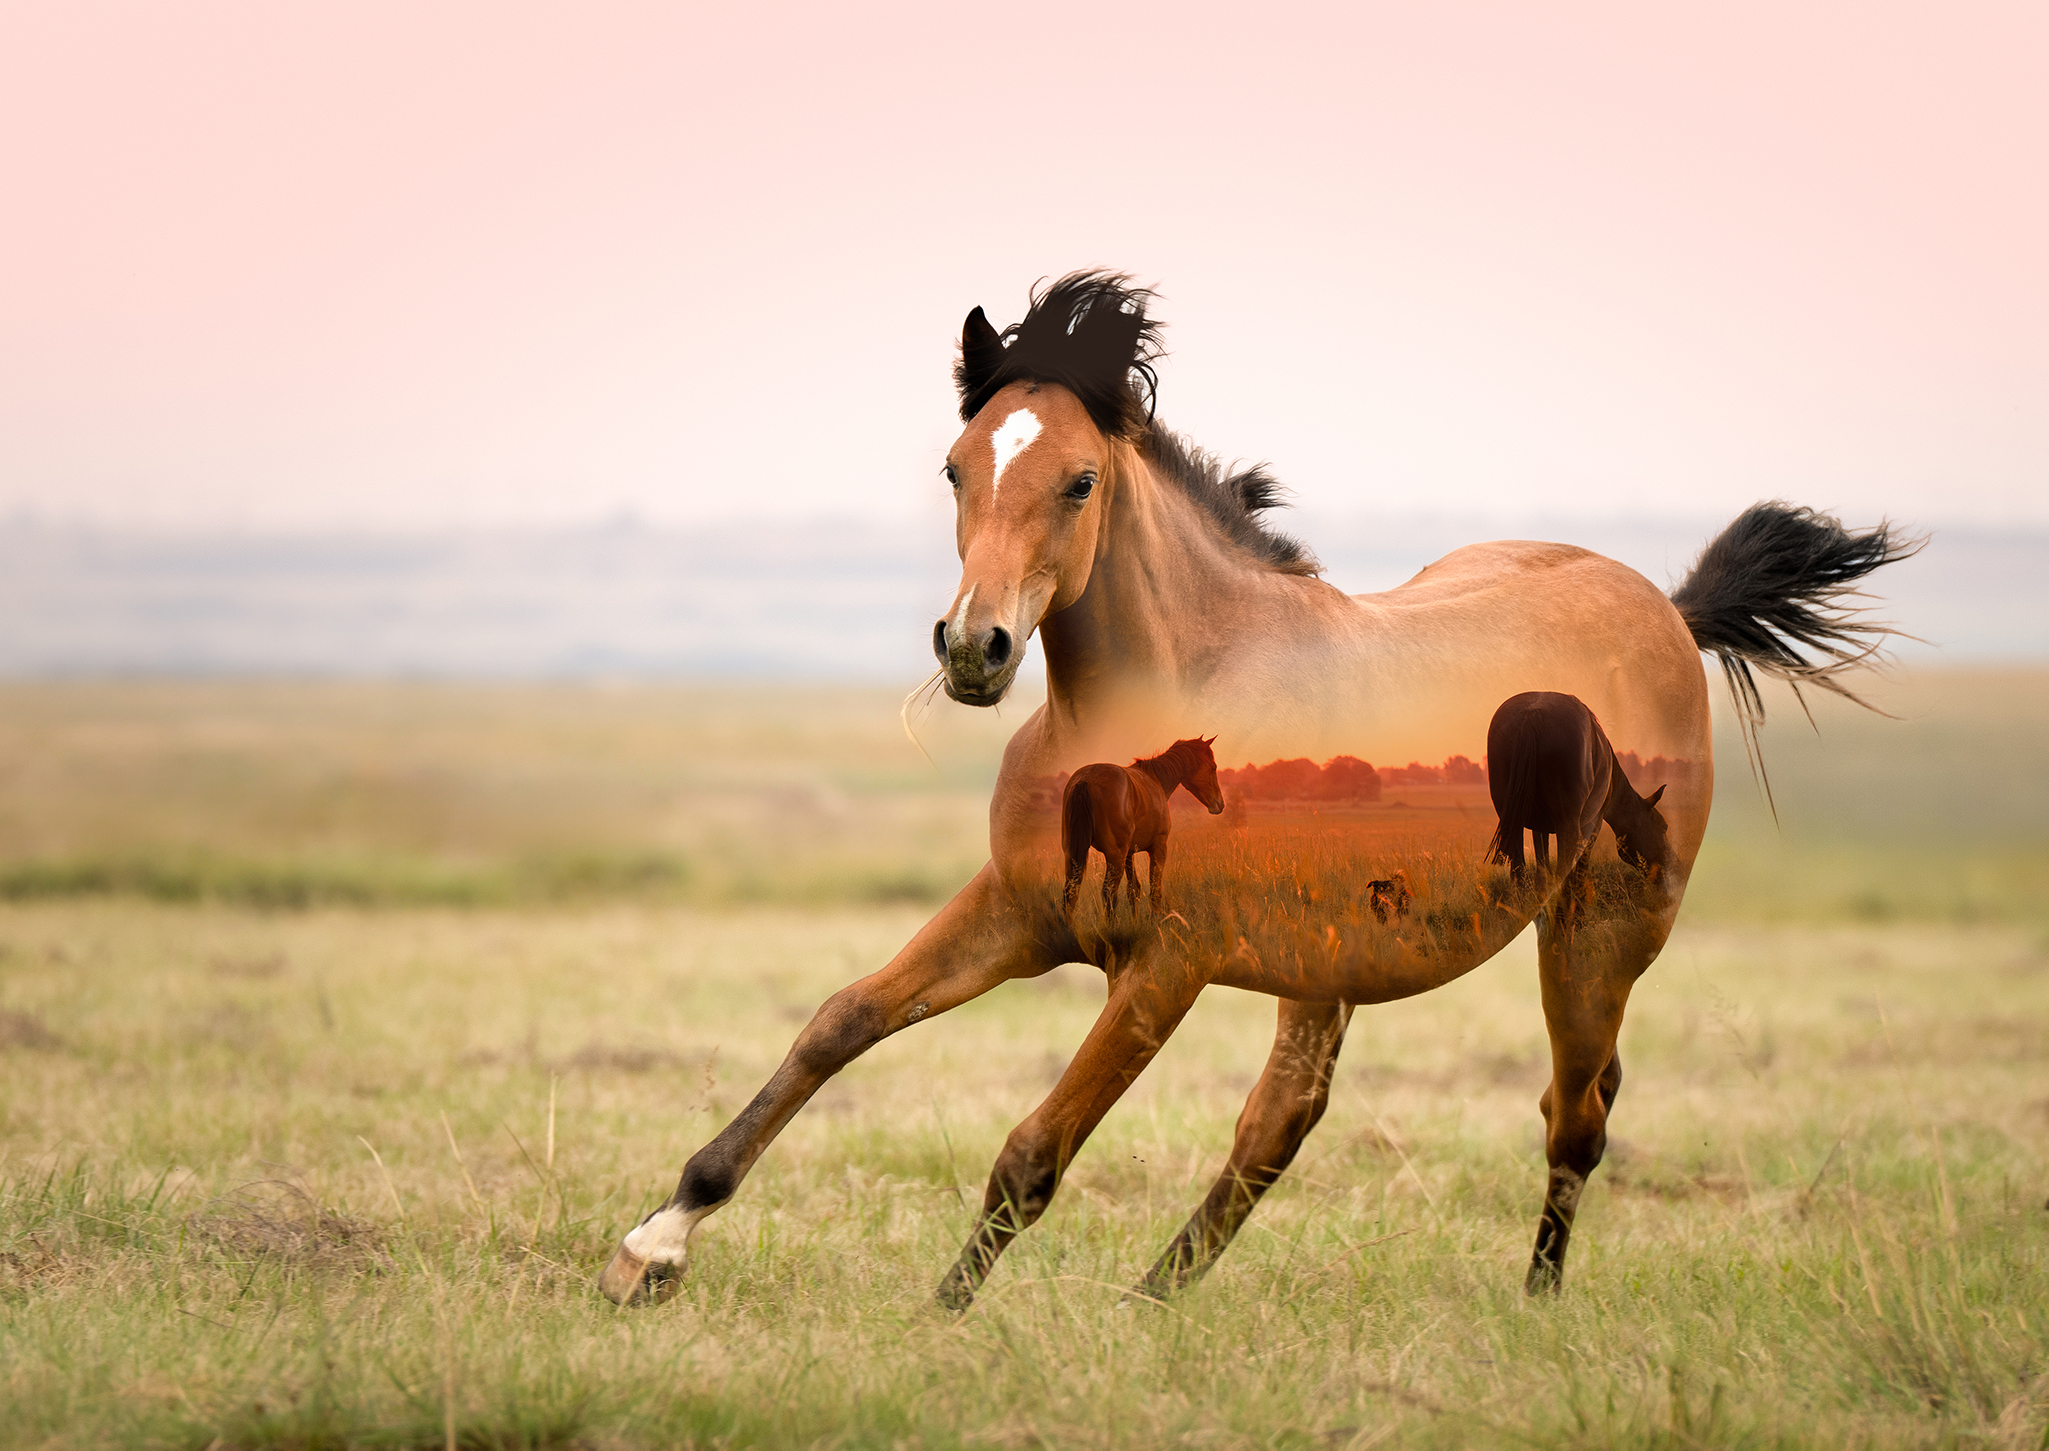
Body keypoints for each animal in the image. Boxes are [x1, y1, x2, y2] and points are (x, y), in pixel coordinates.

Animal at [1061, 736, 1224, 918]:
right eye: (1213, 767)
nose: (1220, 804)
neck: (1156, 780)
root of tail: (1084, 781)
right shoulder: (1158, 848)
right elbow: (1155, 891)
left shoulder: (1129, 854)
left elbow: (1133, 890)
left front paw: (1136, 921)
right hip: (1114, 857)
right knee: (1109, 893)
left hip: (1073, 854)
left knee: (1071, 893)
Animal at [1485, 691, 1673, 883]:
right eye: (1663, 826)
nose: (1673, 867)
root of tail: (1532, 714)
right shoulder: (1593, 822)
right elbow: (1580, 864)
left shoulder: (1539, 826)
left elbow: (1542, 867)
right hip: (1567, 824)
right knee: (1563, 869)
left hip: (1512, 822)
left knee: (1518, 871)